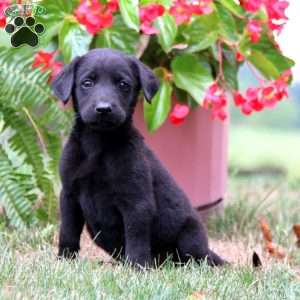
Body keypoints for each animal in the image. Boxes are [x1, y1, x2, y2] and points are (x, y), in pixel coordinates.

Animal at [52, 48, 225, 268]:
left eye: (123, 84)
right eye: (87, 83)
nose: (104, 109)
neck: (97, 146)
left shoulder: (136, 202)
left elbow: (135, 237)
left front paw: (137, 266)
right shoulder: (69, 195)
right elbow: (68, 231)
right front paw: (64, 259)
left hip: (190, 236)